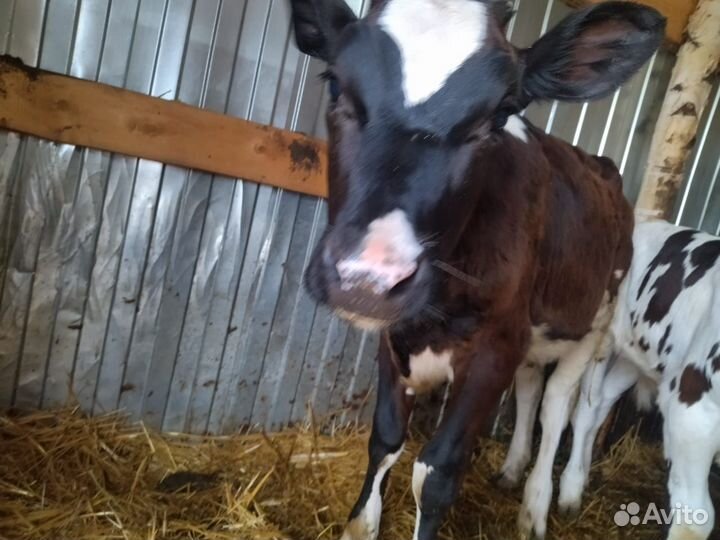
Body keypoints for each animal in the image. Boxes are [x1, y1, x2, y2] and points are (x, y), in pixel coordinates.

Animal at [287, 1, 665, 539]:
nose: (369, 278)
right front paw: (361, 522)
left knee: (563, 409)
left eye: (499, 115)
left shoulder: (493, 350)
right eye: (336, 84)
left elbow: (437, 473)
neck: (435, 316)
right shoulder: (395, 340)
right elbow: (384, 441)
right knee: (530, 391)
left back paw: (542, 504)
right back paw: (511, 470)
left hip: (593, 328)